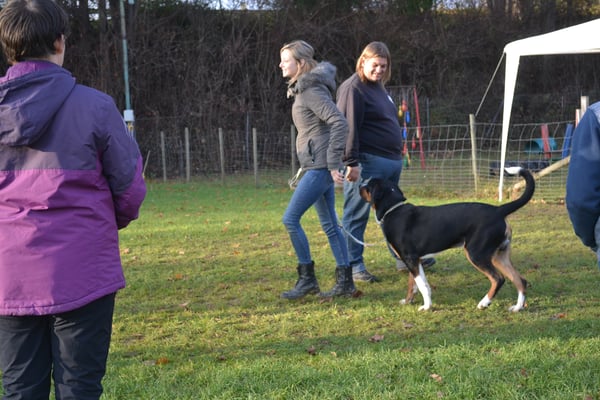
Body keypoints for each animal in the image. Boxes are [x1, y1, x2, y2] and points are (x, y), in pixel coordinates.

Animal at [359, 167, 534, 312]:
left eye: (368, 186)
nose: (359, 185)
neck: (393, 210)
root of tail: (498, 210)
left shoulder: (410, 258)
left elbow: (421, 286)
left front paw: (426, 307)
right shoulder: (414, 260)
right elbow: (415, 285)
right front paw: (408, 301)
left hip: (477, 254)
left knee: (498, 279)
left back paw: (484, 303)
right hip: (499, 256)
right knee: (520, 280)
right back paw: (517, 307)